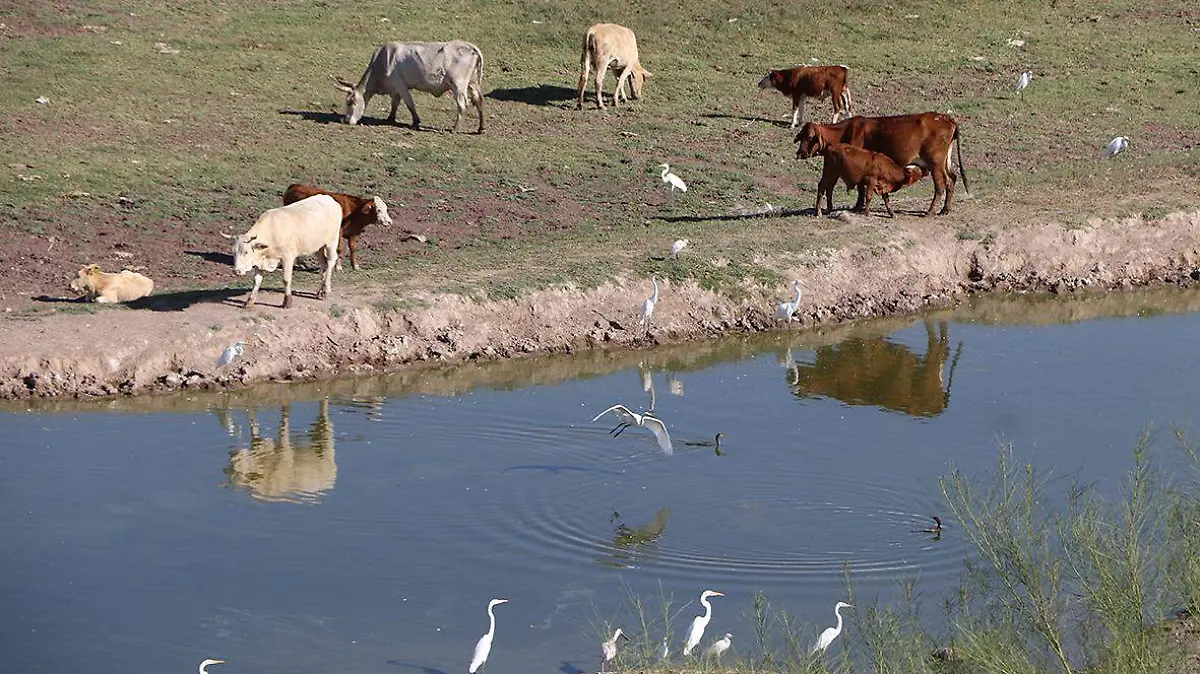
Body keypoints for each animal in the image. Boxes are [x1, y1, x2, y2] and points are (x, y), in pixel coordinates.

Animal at [332, 40, 485, 133]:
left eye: (351, 101)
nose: (346, 120)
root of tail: (469, 46)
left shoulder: (400, 84)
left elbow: (409, 104)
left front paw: (416, 122)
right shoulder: (395, 89)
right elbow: (395, 103)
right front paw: (390, 118)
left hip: (458, 85)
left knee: (463, 105)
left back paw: (455, 129)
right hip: (472, 84)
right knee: (479, 101)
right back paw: (481, 128)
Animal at [794, 112, 969, 216]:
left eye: (810, 137)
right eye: (801, 136)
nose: (800, 153)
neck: (845, 131)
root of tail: (947, 119)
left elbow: (861, 188)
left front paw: (858, 207)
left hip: (935, 164)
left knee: (940, 185)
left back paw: (931, 211)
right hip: (944, 162)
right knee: (952, 179)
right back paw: (945, 210)